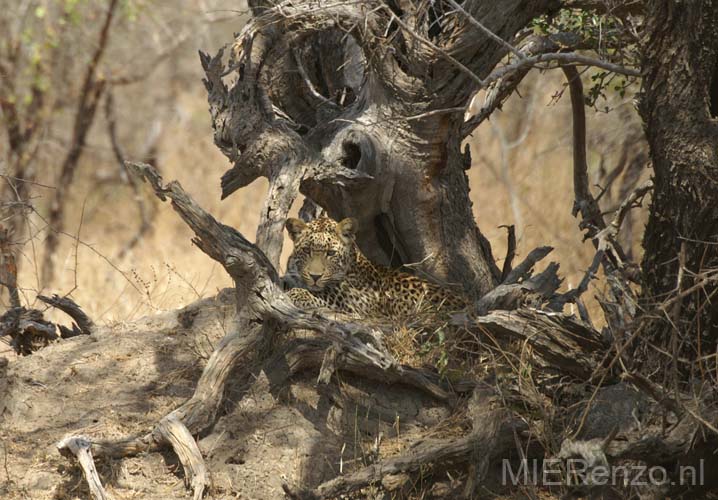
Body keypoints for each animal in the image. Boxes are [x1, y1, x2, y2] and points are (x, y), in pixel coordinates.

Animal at [286, 216, 472, 320]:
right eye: (306, 250)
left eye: (331, 253)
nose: (315, 276)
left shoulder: (362, 298)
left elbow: (330, 293)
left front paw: (297, 293)